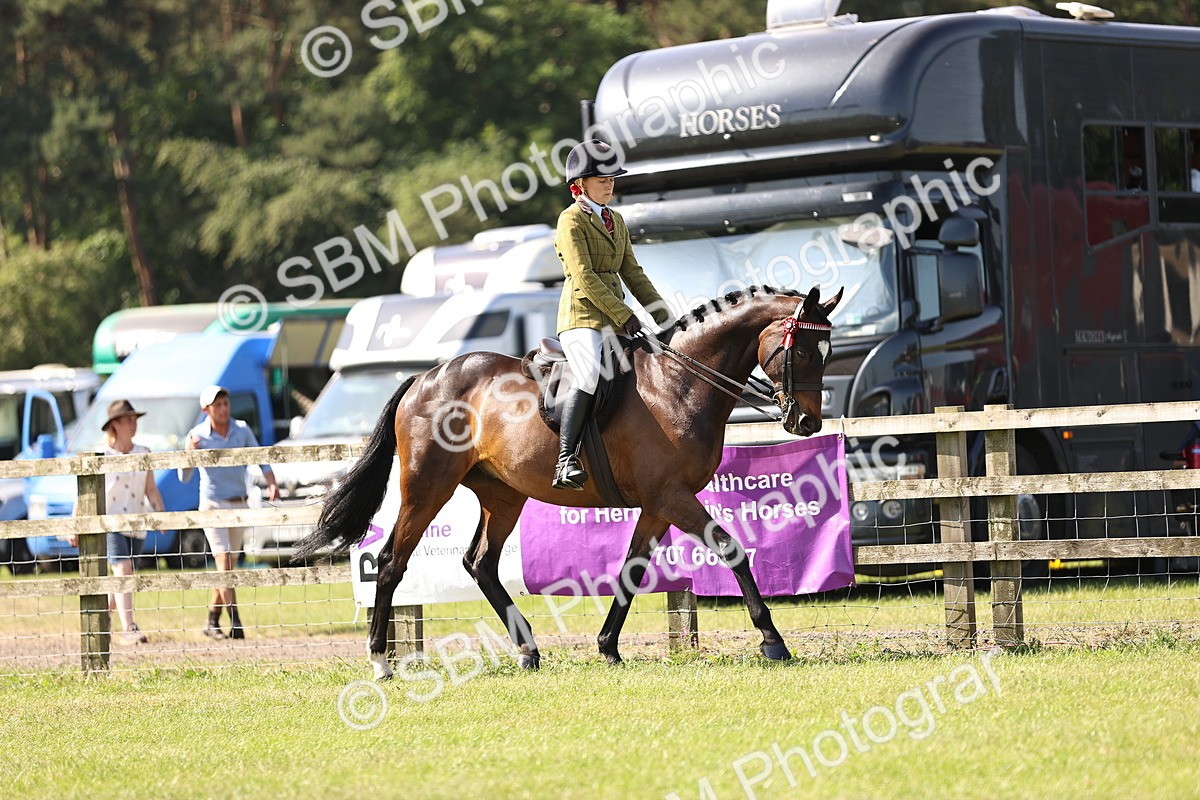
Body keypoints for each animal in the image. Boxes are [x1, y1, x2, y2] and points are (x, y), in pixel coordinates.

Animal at [294, 284, 842, 679]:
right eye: (803, 351)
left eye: (828, 350)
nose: (807, 422)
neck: (679, 384)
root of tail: (425, 378)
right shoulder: (672, 497)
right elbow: (731, 549)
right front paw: (773, 641)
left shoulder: (657, 505)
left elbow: (631, 570)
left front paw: (608, 648)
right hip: (427, 488)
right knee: (391, 562)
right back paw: (380, 662)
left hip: (503, 495)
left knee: (480, 563)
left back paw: (528, 651)